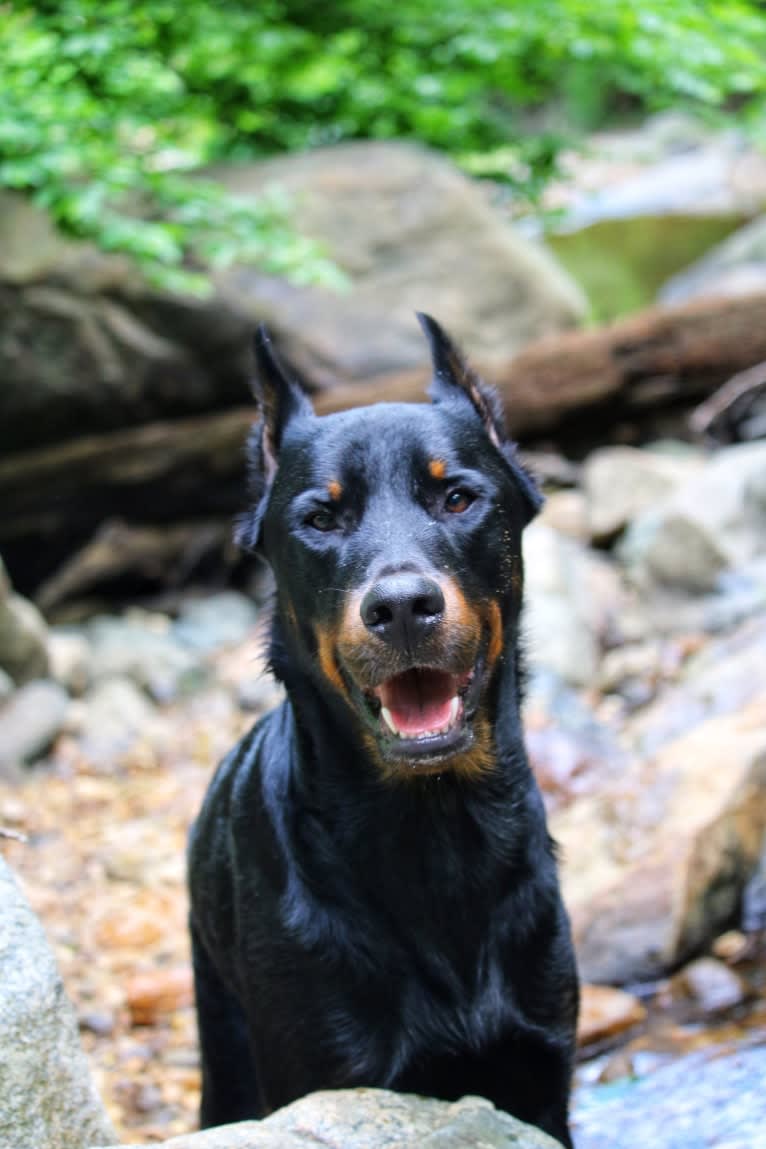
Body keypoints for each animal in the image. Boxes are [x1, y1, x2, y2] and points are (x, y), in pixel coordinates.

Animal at [188, 312, 578, 1139]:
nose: (401, 606)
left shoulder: (542, 1077)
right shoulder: (329, 1075)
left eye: (458, 497)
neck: (434, 829)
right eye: (319, 518)